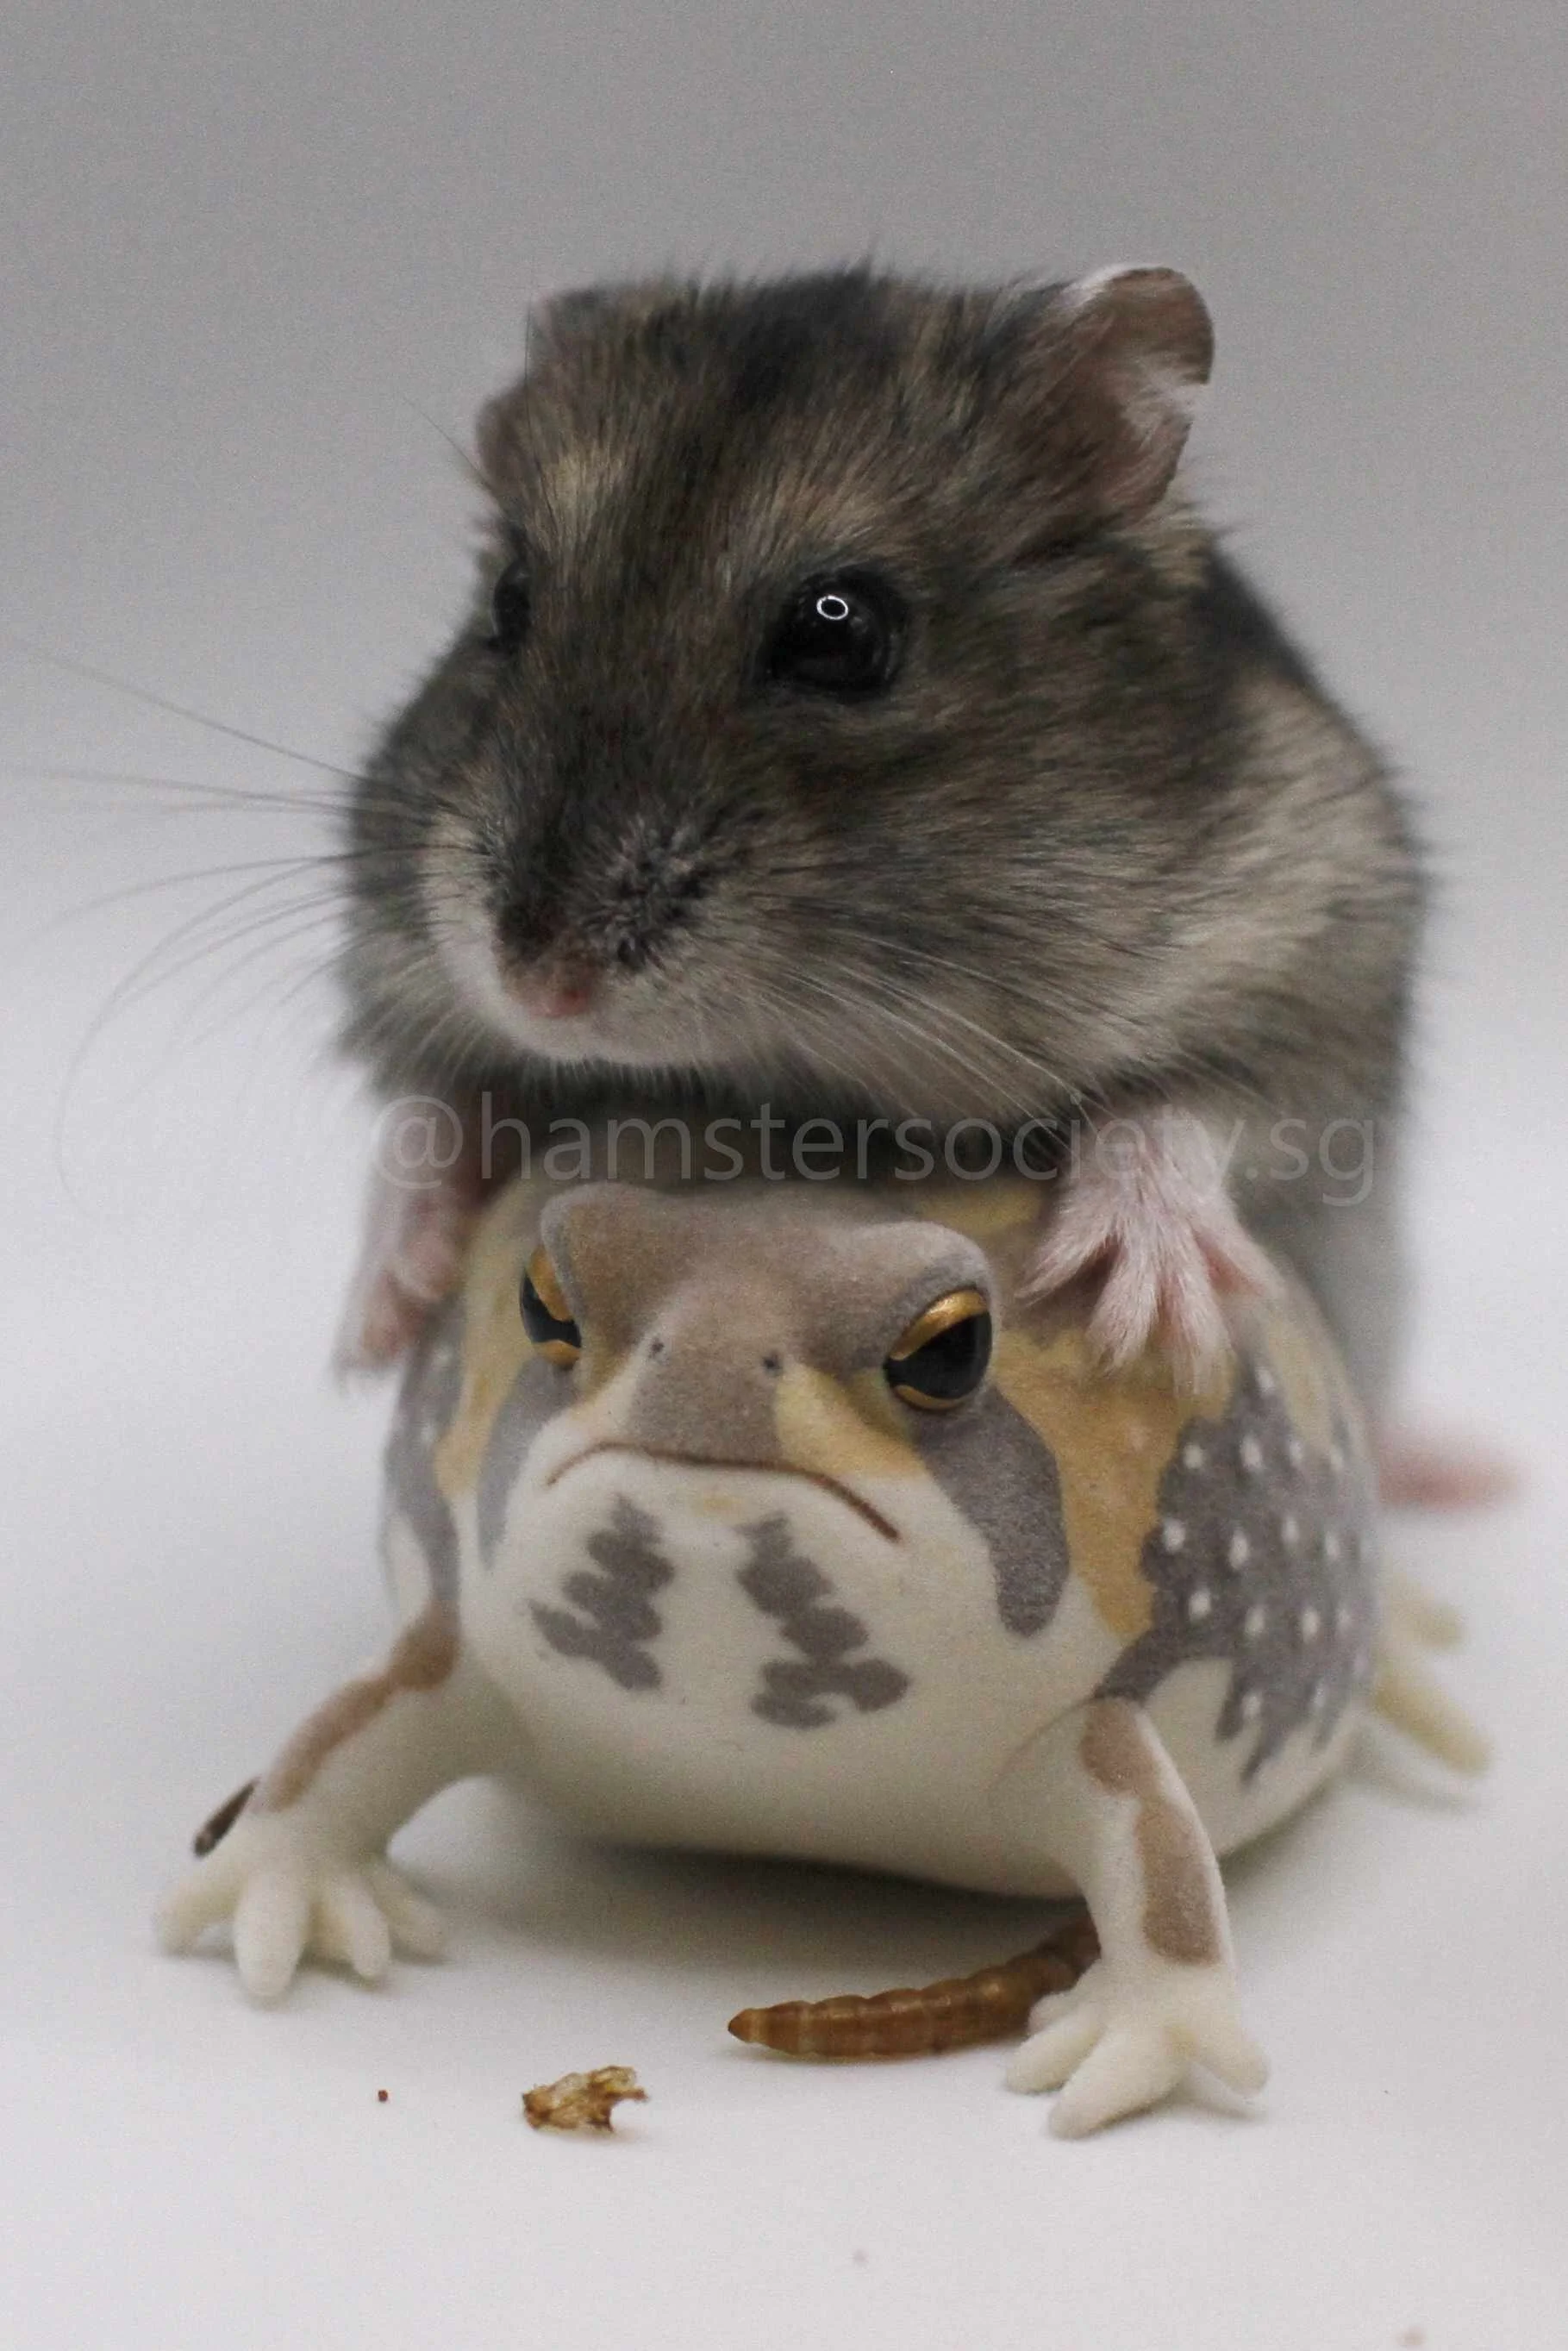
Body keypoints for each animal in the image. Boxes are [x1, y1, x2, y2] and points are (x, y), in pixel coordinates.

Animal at [334, 264, 1423, 1418]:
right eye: (510, 596)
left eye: (840, 627)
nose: (542, 990)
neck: (809, 1059)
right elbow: (433, 1109)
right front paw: (374, 1322)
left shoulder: (1324, 962)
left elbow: (1191, 1105)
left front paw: (1141, 1317)